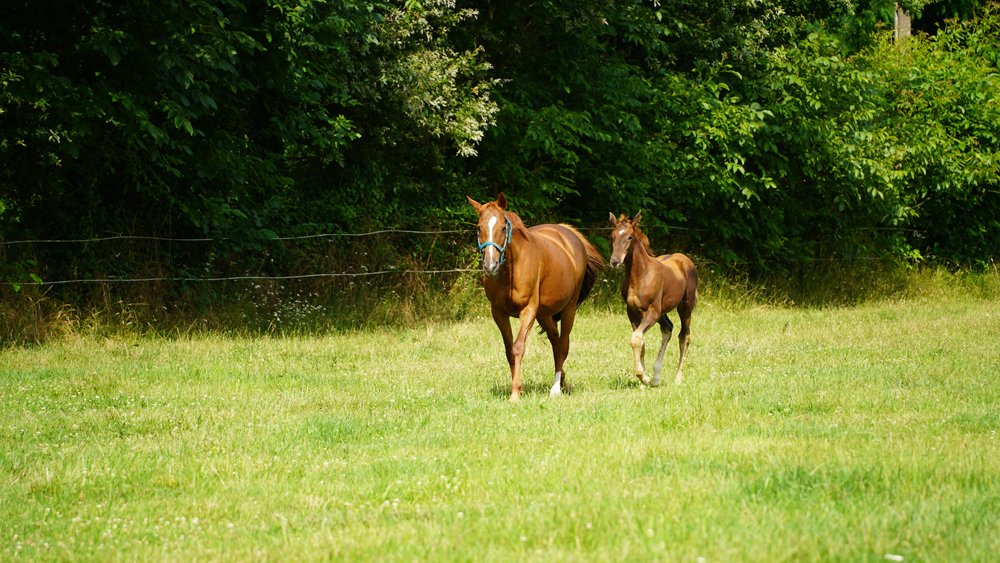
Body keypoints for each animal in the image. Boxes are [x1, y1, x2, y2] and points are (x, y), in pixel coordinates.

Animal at [467, 193, 605, 401]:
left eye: (502, 227)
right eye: (478, 227)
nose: (491, 266)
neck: (511, 272)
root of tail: (570, 233)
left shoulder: (528, 311)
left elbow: (518, 347)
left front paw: (515, 393)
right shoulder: (499, 313)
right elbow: (509, 350)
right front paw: (517, 388)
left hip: (569, 309)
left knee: (563, 344)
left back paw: (556, 388)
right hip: (545, 315)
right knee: (556, 343)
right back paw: (563, 382)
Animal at [609, 212, 697, 387]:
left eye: (630, 237)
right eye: (612, 236)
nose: (614, 261)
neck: (639, 276)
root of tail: (686, 260)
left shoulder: (652, 312)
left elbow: (636, 338)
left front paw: (643, 376)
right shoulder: (632, 312)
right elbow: (640, 341)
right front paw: (645, 380)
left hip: (685, 307)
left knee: (684, 335)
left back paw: (678, 378)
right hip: (663, 312)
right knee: (668, 328)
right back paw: (656, 377)